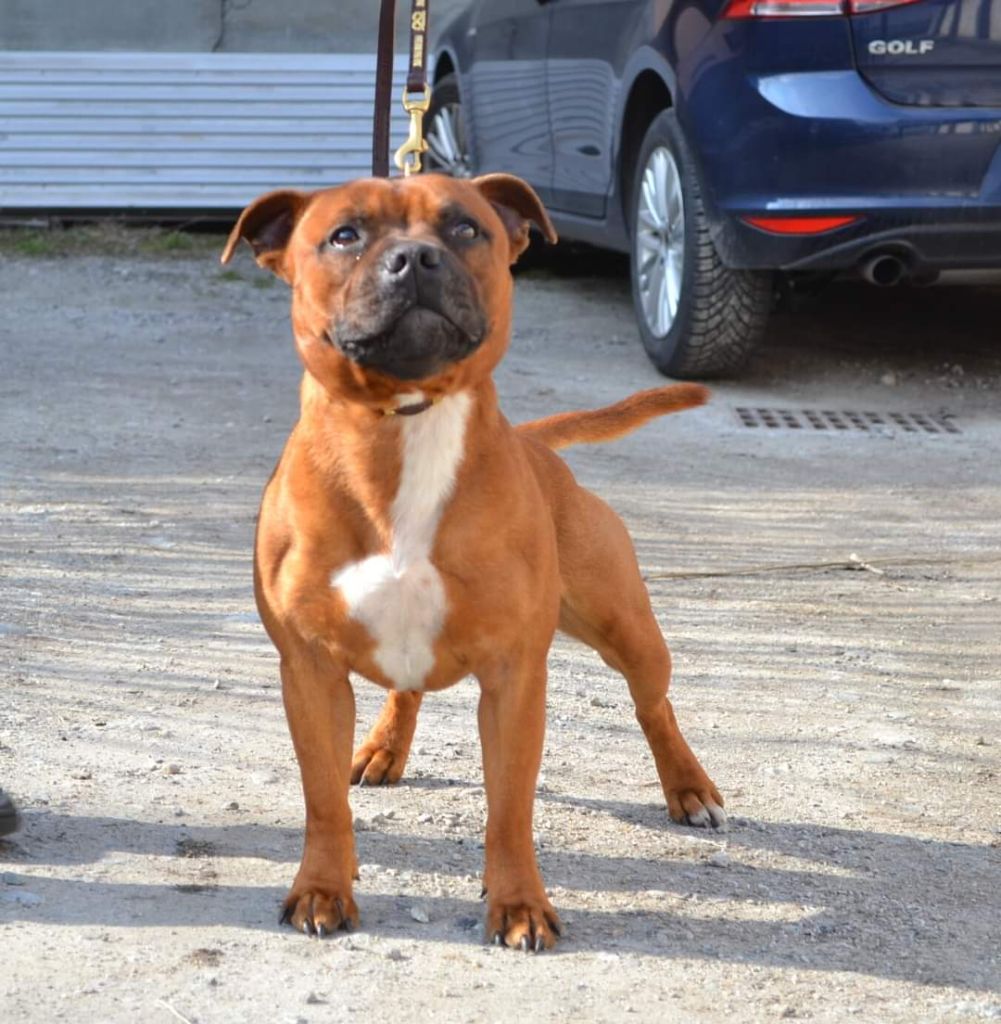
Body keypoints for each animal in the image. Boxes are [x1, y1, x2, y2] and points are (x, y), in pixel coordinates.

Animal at [224, 169, 724, 950]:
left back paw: (688, 788)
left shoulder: (515, 678)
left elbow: (510, 809)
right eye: (344, 235)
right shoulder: (309, 671)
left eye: (465, 228)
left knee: (655, 706)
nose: (414, 259)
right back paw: (382, 749)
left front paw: (517, 903)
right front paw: (322, 888)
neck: (407, 426)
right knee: (406, 692)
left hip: (631, 633)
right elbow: (323, 800)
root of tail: (537, 443)